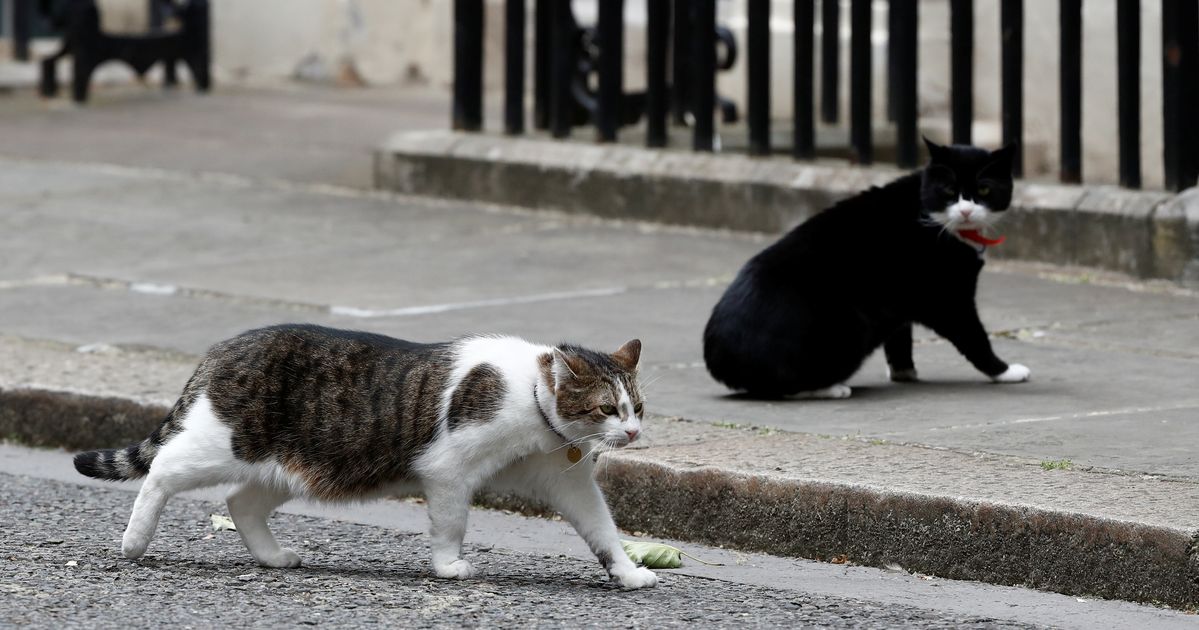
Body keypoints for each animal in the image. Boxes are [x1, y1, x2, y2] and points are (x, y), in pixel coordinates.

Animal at [74, 324, 657, 590]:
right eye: (608, 408)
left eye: (639, 407)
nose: (632, 432)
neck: (533, 397)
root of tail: (226, 346)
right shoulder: (448, 470)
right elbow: (451, 523)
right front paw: (448, 567)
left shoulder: (565, 481)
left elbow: (601, 527)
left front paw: (628, 573)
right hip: (221, 443)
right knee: (162, 471)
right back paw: (134, 540)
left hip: (291, 467)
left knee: (242, 502)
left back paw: (272, 556)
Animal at [700, 140, 1031, 398]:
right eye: (949, 190)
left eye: (984, 189)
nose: (965, 210)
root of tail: (719, 357)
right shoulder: (949, 299)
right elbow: (974, 337)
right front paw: (1005, 371)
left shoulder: (901, 301)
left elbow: (900, 336)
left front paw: (903, 372)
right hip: (850, 328)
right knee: (782, 387)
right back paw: (832, 388)